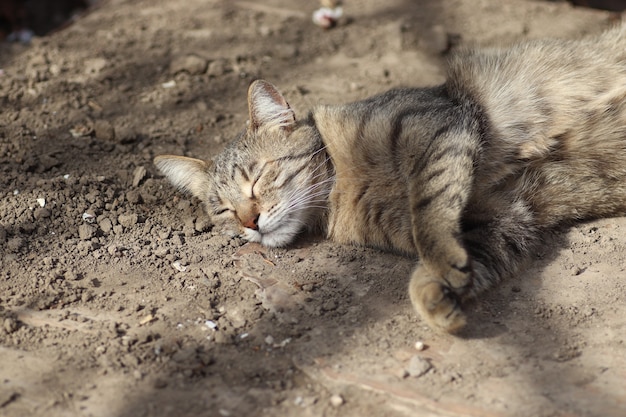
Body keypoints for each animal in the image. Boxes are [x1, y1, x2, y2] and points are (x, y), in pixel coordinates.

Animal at [154, 24, 624, 334]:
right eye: (222, 210)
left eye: (259, 178)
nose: (249, 222)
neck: (342, 185)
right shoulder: (505, 215)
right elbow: (458, 255)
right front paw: (437, 293)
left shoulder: (435, 123)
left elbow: (427, 206)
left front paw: (438, 261)